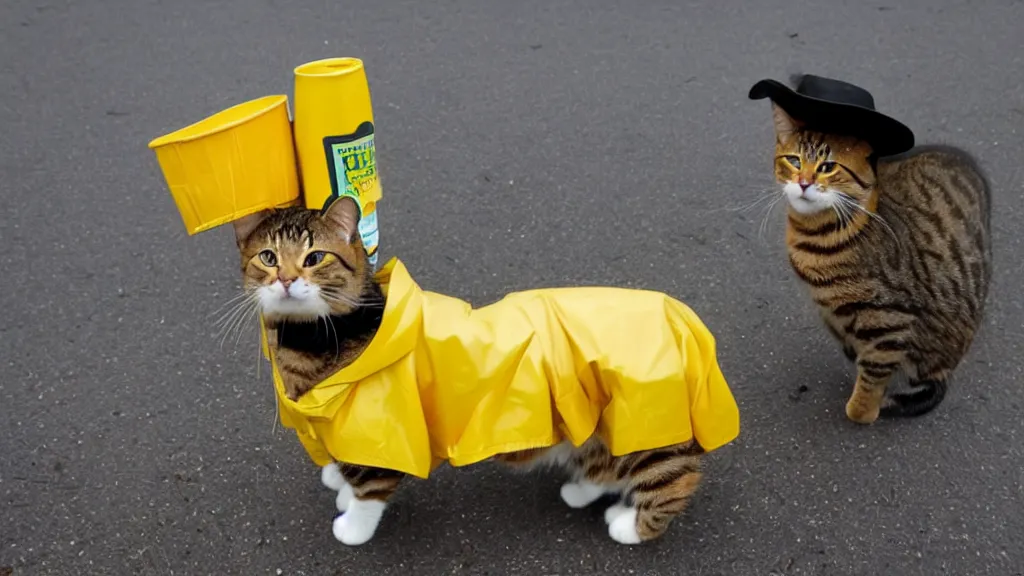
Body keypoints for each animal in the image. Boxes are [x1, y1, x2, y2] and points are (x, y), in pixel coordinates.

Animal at [232, 195, 741, 541]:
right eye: (267, 258)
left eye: (315, 258)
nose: (286, 279)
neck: (317, 336)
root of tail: (680, 317)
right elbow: (345, 466)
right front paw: (337, 480)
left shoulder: (385, 438)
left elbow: (368, 494)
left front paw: (351, 526)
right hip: (600, 423)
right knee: (603, 464)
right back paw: (584, 492)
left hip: (650, 427)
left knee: (674, 481)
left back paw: (631, 527)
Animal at [745, 72, 991, 422]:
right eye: (793, 161)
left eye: (828, 167)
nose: (804, 183)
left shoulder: (890, 319)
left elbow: (874, 371)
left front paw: (861, 409)